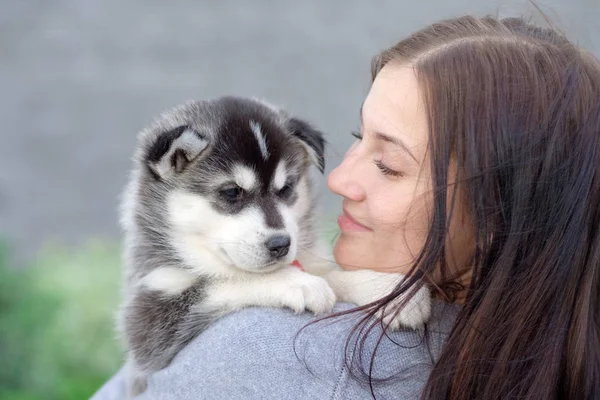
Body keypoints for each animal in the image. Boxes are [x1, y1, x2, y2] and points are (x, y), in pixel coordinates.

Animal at [117, 96, 428, 396]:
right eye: (232, 192)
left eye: (286, 188)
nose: (280, 244)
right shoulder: (147, 319)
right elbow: (227, 281)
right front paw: (299, 283)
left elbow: (330, 274)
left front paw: (389, 290)